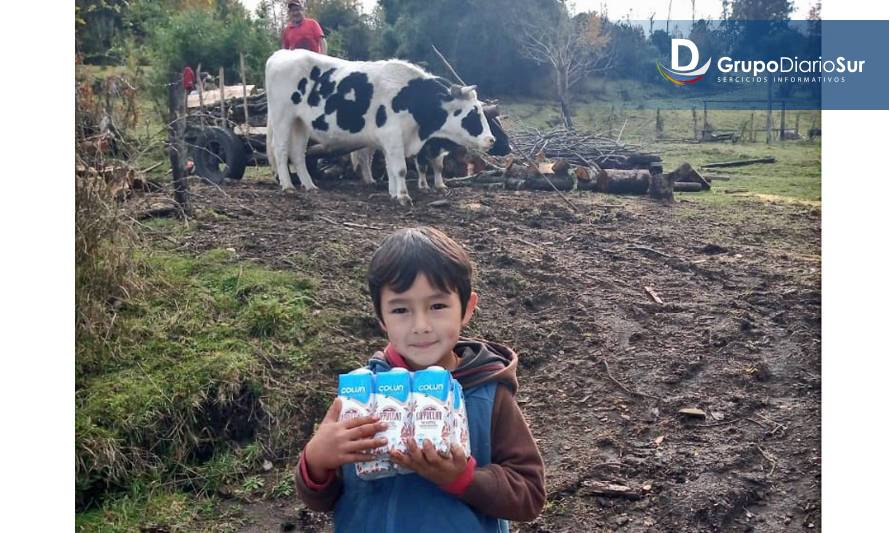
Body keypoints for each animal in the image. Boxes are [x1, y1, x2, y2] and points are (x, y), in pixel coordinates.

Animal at [264, 49, 500, 204]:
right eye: (474, 112)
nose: (491, 139)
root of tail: (281, 54)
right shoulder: (393, 136)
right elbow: (401, 168)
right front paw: (403, 197)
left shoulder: (390, 141)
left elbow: (391, 168)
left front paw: (394, 193)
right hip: (282, 117)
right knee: (281, 150)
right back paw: (288, 186)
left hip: (301, 124)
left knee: (298, 154)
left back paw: (309, 185)